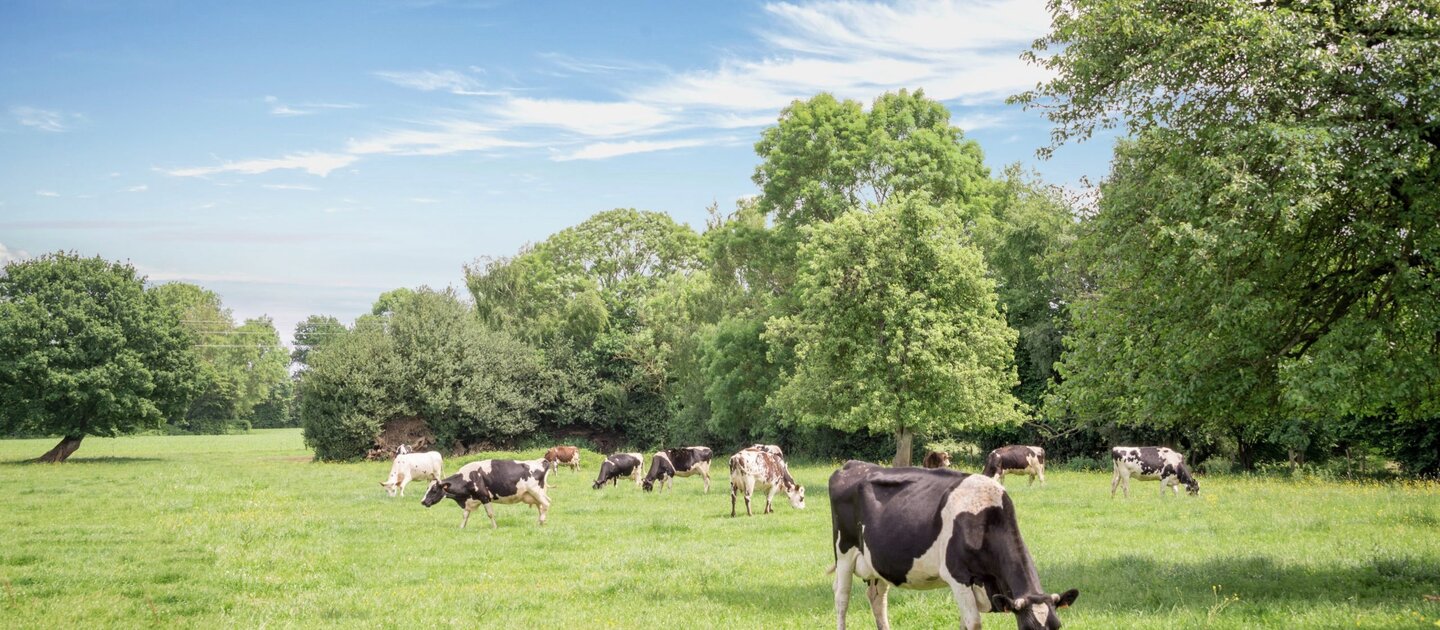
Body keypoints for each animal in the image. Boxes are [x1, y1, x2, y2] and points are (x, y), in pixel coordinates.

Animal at [420, 454, 550, 529]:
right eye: (427, 488)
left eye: (434, 490)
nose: (423, 501)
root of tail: (540, 461)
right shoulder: (470, 500)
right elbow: (465, 515)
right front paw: (461, 527)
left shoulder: (484, 497)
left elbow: (490, 514)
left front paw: (495, 527)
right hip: (533, 494)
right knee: (541, 506)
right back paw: (540, 523)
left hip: (536, 491)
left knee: (546, 504)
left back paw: (541, 521)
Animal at [829, 457, 1077, 630]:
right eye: (1027, 628)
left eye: (1058, 626)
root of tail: (853, 465)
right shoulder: (958, 576)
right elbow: (974, 624)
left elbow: (964, 623)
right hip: (844, 553)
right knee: (842, 598)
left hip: (877, 562)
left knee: (877, 598)